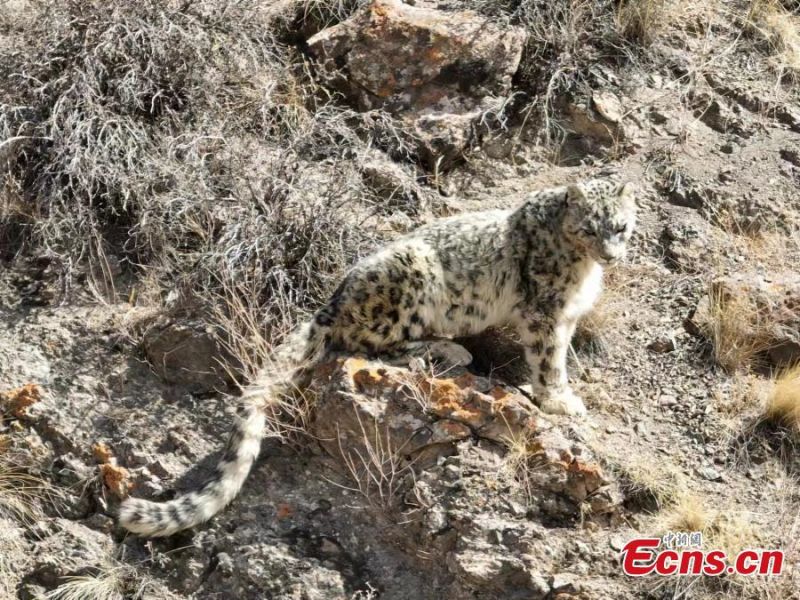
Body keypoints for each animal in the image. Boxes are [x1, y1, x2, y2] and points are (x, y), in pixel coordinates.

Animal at [119, 177, 636, 536]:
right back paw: (449, 350)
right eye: (589, 227)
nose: (611, 254)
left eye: (620, 226)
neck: (580, 268)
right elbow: (549, 360)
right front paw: (561, 400)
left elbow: (561, 354)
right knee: (372, 344)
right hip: (410, 284)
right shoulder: (545, 312)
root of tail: (333, 300)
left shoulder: (566, 317)